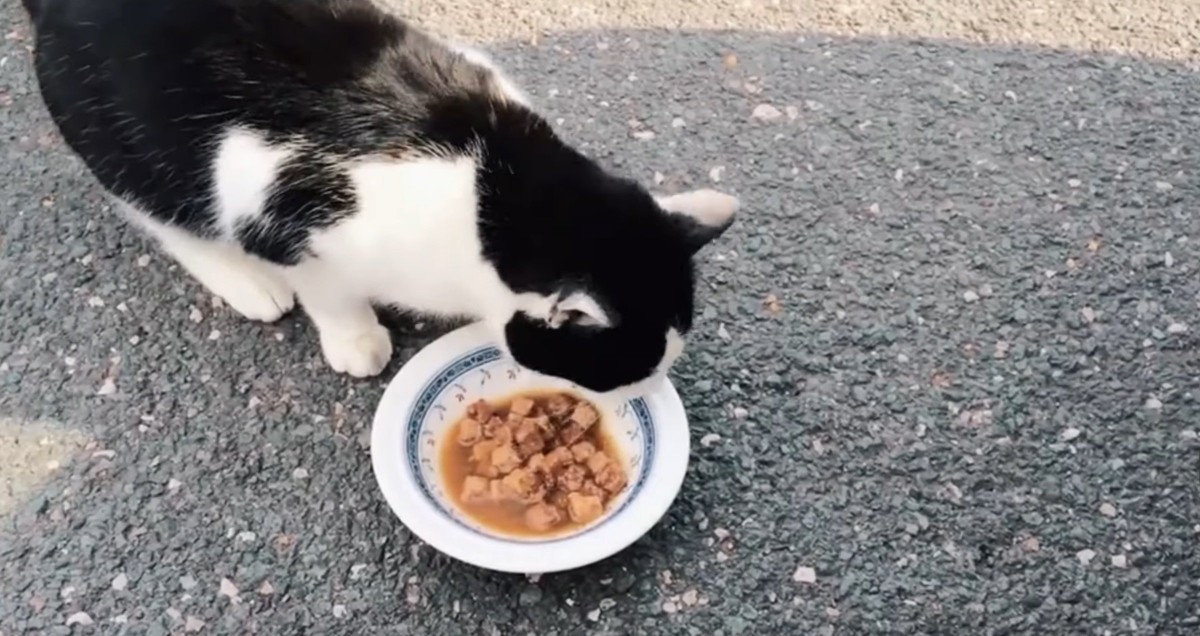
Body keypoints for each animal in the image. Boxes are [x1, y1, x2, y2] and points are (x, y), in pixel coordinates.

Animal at [23, 0, 739, 393]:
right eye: (619, 373)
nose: (631, 403)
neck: (496, 188)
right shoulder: (277, 208)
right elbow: (327, 290)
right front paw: (357, 338)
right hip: (128, 146)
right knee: (160, 213)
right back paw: (244, 281)